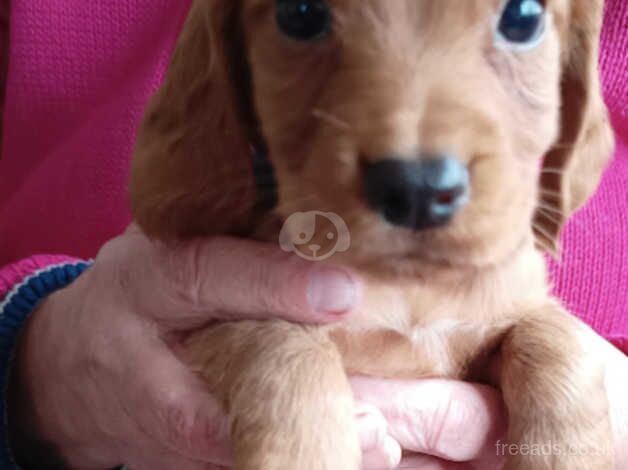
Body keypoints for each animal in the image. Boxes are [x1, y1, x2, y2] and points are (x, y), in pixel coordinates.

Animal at [129, 1, 612, 468]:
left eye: (523, 18)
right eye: (299, 14)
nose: (418, 189)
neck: (410, 290)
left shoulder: (513, 309)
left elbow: (555, 338)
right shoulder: (225, 318)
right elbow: (284, 346)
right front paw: (306, 452)